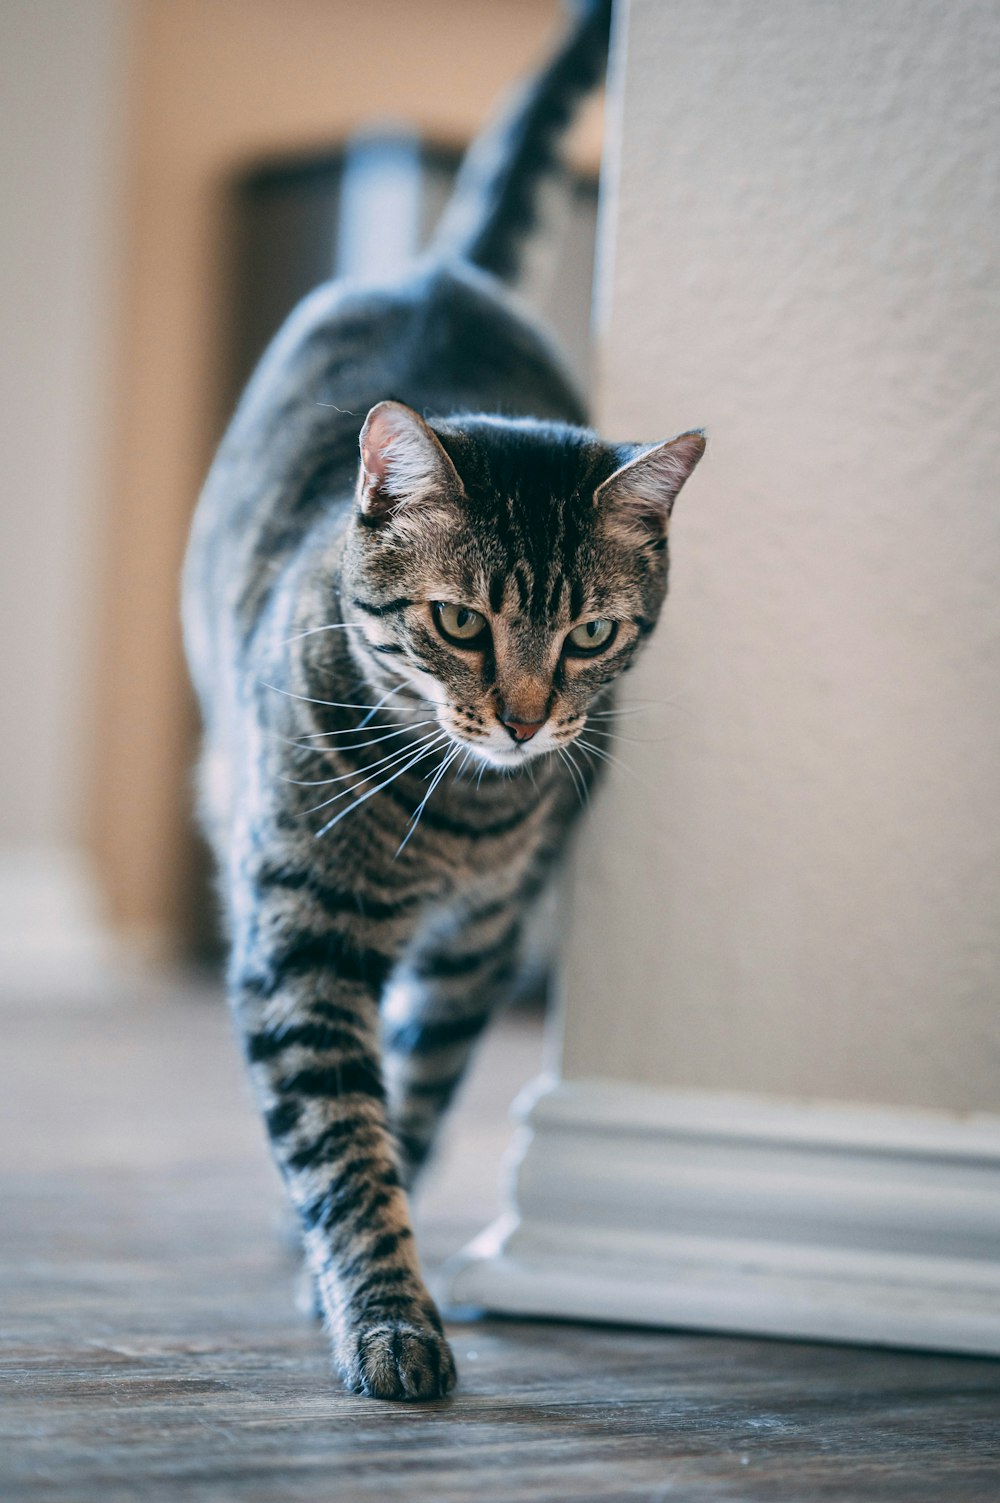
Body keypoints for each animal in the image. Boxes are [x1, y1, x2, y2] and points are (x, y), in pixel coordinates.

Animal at [183, 0, 706, 1400]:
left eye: (590, 634)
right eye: (461, 623)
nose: (524, 717)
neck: (455, 812)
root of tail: (440, 270)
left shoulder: (484, 941)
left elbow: (408, 1106)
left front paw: (374, 1275)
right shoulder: (298, 927)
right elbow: (340, 1138)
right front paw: (381, 1314)